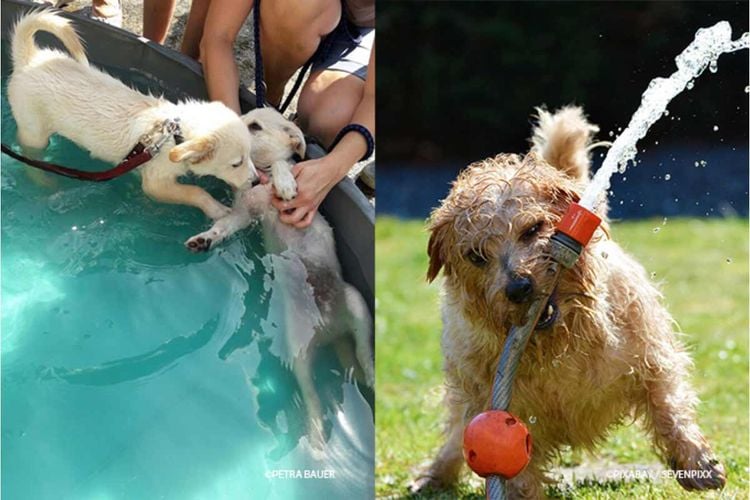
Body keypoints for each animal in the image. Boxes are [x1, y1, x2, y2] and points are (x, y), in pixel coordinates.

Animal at [6, 10, 262, 219]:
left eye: (250, 155)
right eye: (236, 164)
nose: (257, 181)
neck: (173, 135)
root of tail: (28, 59)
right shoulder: (156, 183)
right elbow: (193, 191)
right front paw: (216, 208)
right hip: (34, 132)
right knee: (29, 155)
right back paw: (43, 180)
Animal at [188, 111, 376, 448]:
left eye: (255, 126)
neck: (260, 181)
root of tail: (331, 329)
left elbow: (282, 166)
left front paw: (285, 183)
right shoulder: (244, 215)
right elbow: (224, 225)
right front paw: (206, 238)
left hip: (357, 305)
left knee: (364, 354)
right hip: (298, 348)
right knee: (312, 394)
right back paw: (317, 435)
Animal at [414, 107, 724, 498]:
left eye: (533, 229)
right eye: (476, 256)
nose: (519, 287)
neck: (559, 344)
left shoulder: (652, 358)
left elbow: (668, 407)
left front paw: (698, 462)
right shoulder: (498, 405)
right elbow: (516, 467)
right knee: (456, 435)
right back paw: (434, 475)